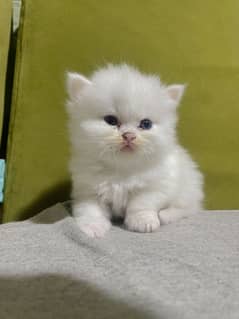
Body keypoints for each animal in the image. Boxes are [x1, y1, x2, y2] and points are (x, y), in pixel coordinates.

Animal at [65, 64, 204, 238]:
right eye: (111, 120)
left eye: (146, 124)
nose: (129, 136)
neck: (121, 169)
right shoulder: (87, 190)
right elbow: (91, 210)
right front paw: (93, 227)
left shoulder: (155, 186)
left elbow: (140, 205)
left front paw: (142, 222)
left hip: (187, 190)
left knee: (186, 209)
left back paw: (165, 215)